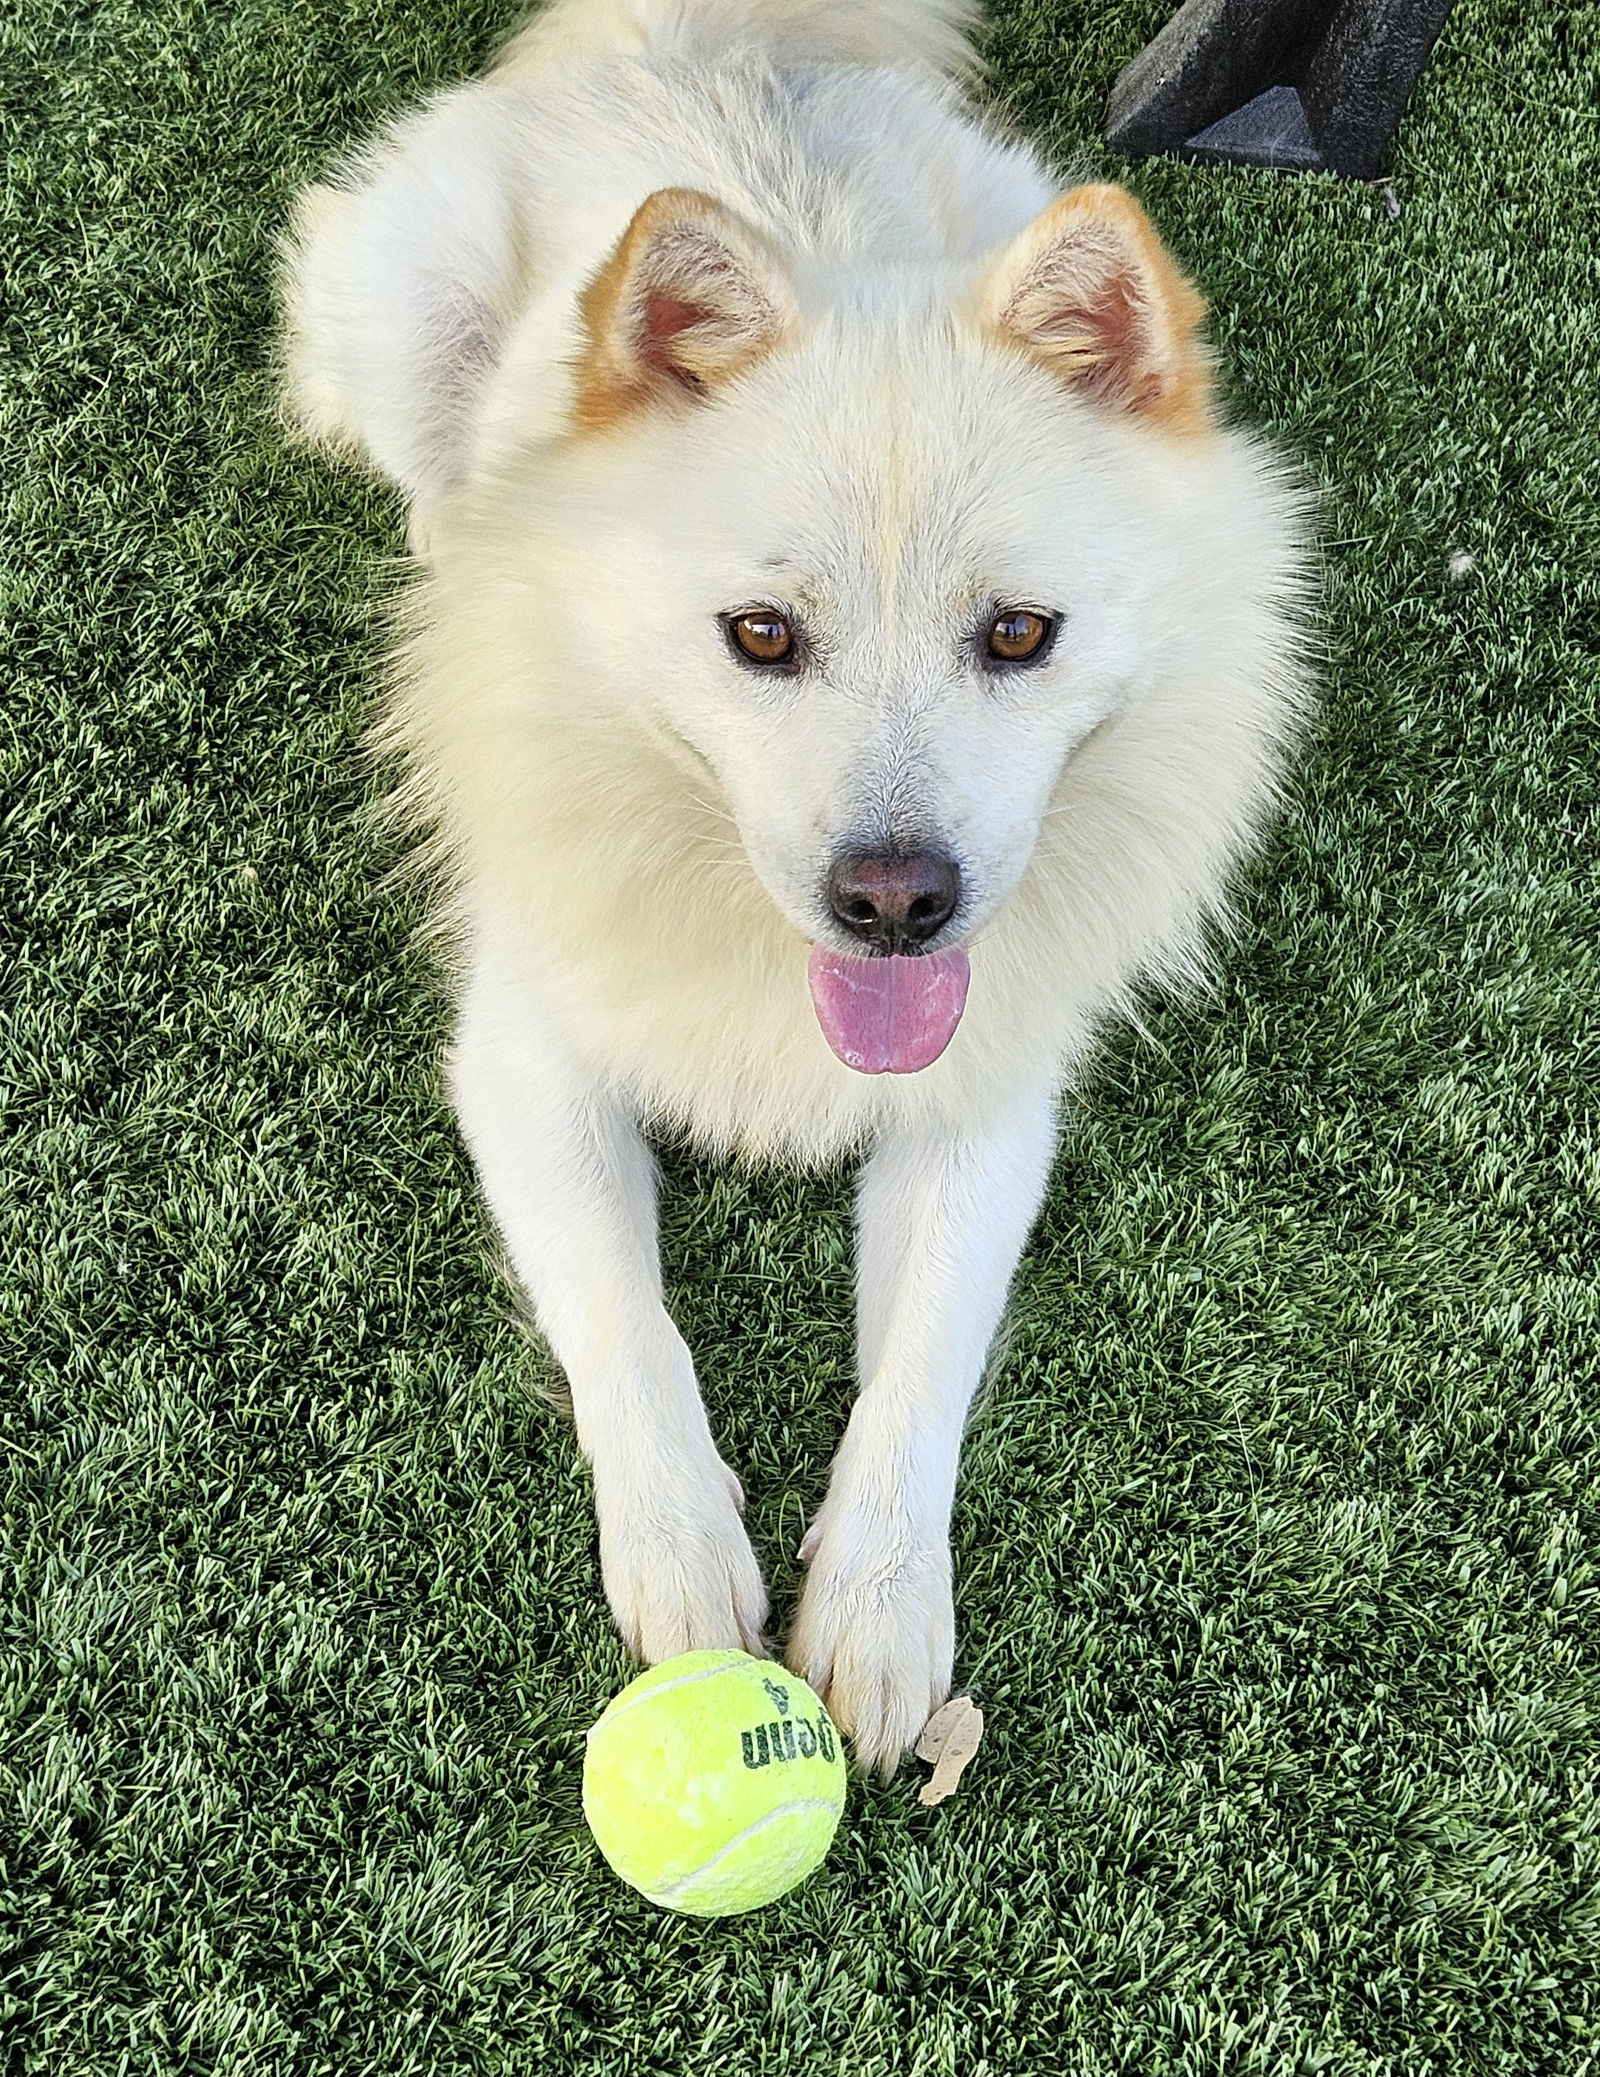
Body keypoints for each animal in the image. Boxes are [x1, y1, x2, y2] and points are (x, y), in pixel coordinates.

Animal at [282, 0, 1313, 1777]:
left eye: (1019, 633)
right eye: (760, 635)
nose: (895, 901)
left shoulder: (982, 1109)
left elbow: (924, 1366)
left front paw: (885, 1611)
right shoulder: (525, 1063)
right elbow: (626, 1321)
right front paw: (686, 1556)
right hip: (395, 305)